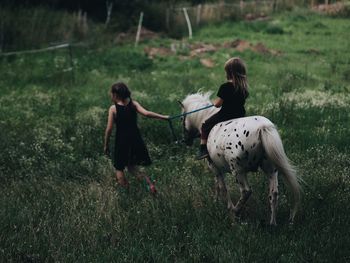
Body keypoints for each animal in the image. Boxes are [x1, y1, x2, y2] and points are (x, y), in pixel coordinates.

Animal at [180, 92, 300, 225]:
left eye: (182, 119)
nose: (186, 140)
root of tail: (262, 128)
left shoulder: (214, 167)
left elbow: (222, 187)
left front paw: (223, 205)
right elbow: (218, 185)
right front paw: (217, 202)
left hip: (238, 171)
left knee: (246, 191)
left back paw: (235, 212)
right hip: (271, 169)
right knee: (273, 193)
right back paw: (272, 223)